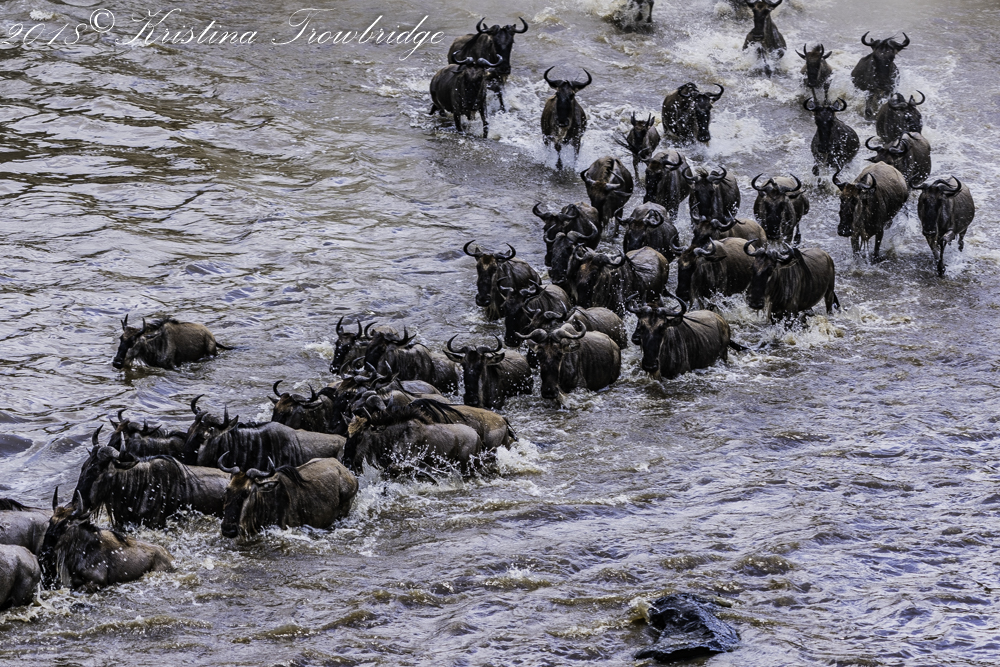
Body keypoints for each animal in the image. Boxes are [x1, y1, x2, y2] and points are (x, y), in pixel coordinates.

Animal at [40, 490, 173, 591]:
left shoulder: (98, 582)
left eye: (65, 524)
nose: (45, 551)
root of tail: (171, 557)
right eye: (51, 521)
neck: (85, 549)